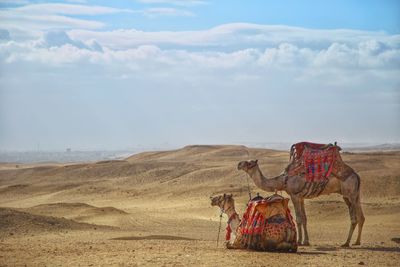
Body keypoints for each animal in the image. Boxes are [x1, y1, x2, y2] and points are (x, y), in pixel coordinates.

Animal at [238, 156, 366, 248]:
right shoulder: (301, 197)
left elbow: (298, 219)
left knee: (356, 218)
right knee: (359, 216)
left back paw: (349, 242)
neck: (283, 180)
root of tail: (356, 175)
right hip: (350, 195)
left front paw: (299, 242)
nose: (239, 164)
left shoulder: (294, 195)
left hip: (350, 193)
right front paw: (306, 241)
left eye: (249, 163)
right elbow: (304, 219)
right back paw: (354, 242)